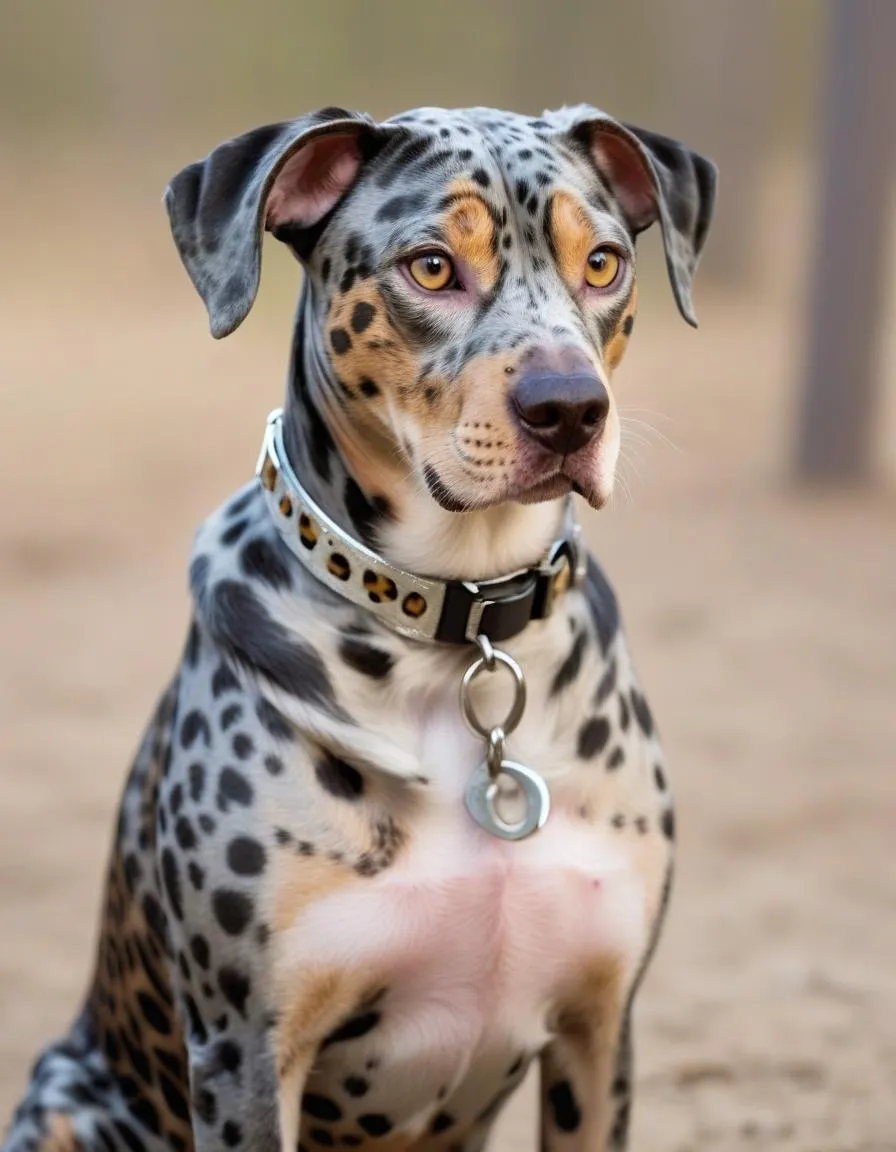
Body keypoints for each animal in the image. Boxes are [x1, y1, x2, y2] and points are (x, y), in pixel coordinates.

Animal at [0, 101, 714, 1152]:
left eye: (604, 262)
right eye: (431, 267)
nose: (571, 409)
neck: (463, 628)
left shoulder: (598, 1031)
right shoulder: (248, 1054)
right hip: (65, 1101)